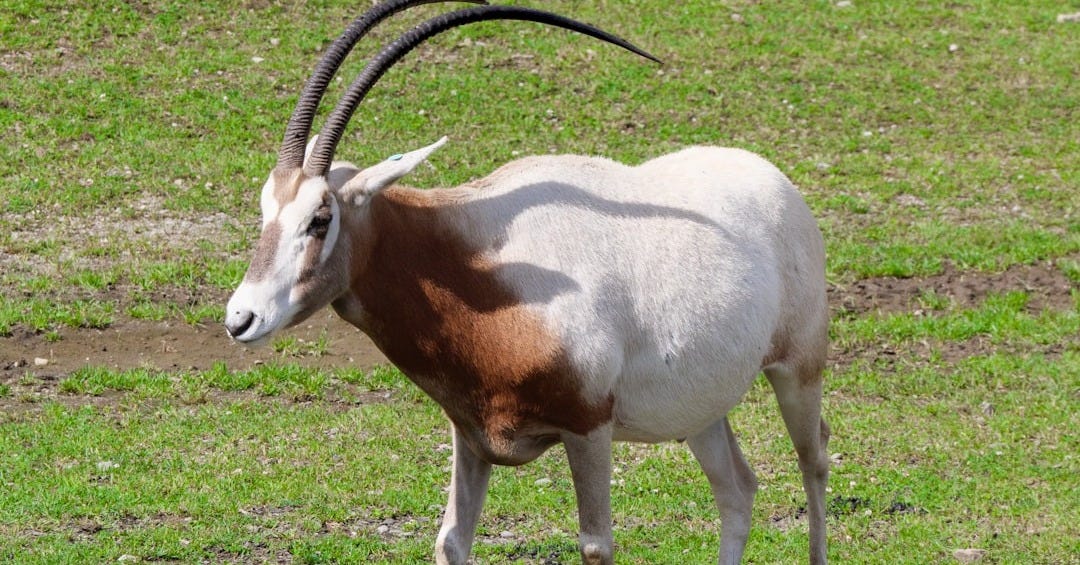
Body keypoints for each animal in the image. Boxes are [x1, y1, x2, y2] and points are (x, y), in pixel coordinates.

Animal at [224, 1, 830, 563]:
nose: (240, 319)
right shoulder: (470, 433)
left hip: (798, 370)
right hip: (701, 408)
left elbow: (596, 545)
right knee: (737, 489)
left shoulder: (588, 428)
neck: (477, 265)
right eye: (265, 208)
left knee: (814, 459)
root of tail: (773, 179)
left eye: (320, 218)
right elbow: (451, 540)